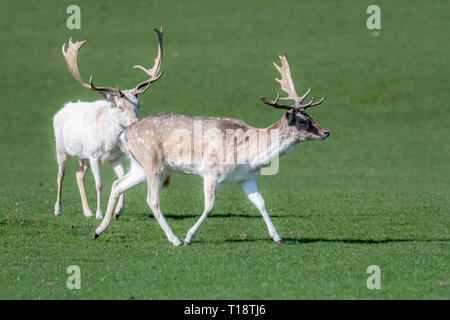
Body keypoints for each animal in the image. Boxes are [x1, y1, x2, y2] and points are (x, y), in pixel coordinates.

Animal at [53, 28, 163, 218]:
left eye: (138, 104)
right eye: (119, 106)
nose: (135, 122)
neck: (108, 143)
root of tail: (61, 110)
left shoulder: (116, 157)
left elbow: (120, 179)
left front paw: (117, 211)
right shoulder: (94, 155)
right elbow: (99, 184)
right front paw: (100, 213)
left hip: (83, 156)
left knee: (78, 174)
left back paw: (87, 211)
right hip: (62, 149)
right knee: (61, 174)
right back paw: (58, 209)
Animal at [92, 52, 330, 245]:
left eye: (311, 116)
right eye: (302, 121)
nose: (326, 132)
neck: (249, 154)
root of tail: (125, 133)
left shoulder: (248, 178)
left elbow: (261, 203)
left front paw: (278, 237)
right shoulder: (211, 172)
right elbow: (209, 206)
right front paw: (188, 237)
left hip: (139, 166)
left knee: (118, 184)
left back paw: (98, 230)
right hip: (153, 163)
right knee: (152, 200)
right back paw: (174, 239)